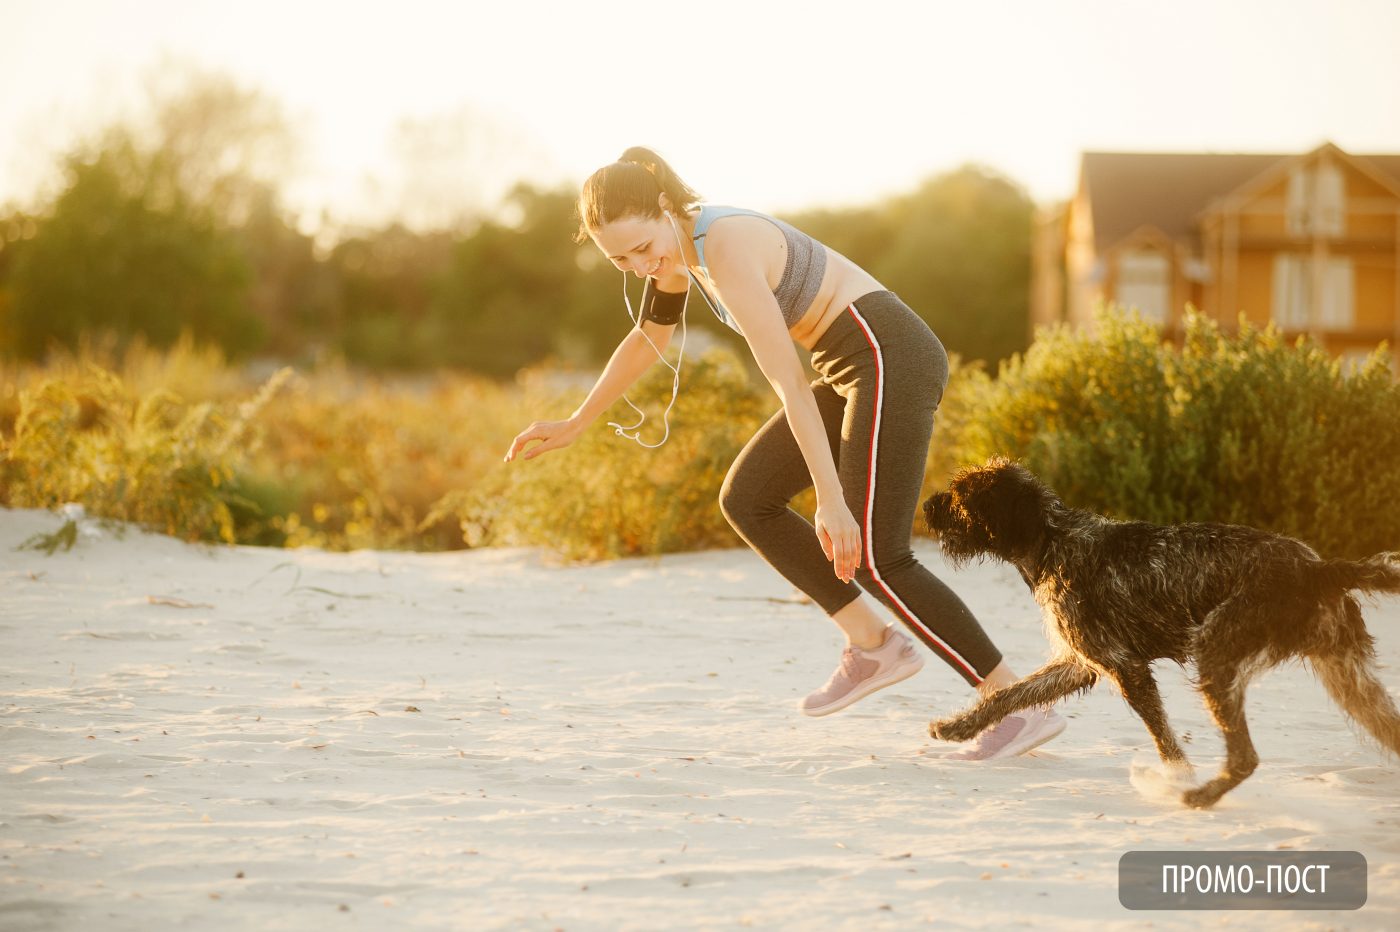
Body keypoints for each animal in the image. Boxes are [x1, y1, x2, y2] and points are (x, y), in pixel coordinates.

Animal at [918, 456, 1400, 806]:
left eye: (960, 496)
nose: (925, 506)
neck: (1054, 540)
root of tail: (1319, 569)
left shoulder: (1125, 667)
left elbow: (1166, 742)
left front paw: (1175, 778)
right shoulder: (1081, 662)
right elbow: (1009, 695)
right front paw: (960, 727)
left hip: (1217, 654)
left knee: (1245, 758)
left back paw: (1199, 795)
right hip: (1350, 682)